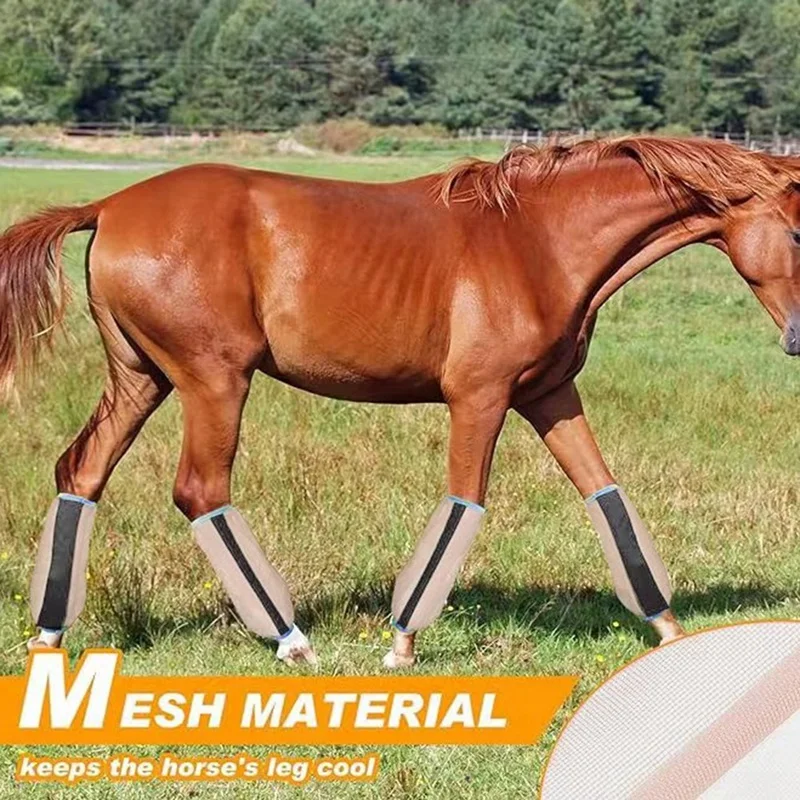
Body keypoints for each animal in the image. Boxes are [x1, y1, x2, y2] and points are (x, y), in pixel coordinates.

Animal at [1, 136, 798, 668]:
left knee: (80, 473)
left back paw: (49, 634)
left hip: (142, 380)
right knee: (200, 491)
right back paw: (291, 640)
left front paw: (669, 629)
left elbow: (605, 494)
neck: (534, 241)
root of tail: (107, 206)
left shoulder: (549, 395)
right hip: (214, 382)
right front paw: (402, 643)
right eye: (796, 230)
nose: (797, 339)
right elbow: (463, 505)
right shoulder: (478, 398)